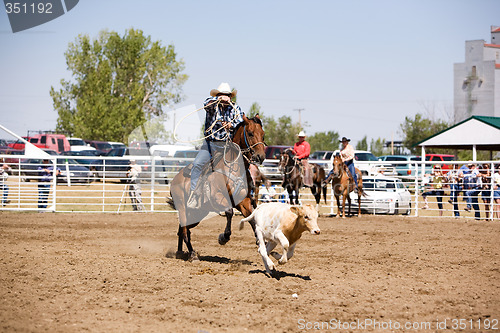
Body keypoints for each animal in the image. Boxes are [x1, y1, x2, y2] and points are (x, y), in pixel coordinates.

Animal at [169, 114, 266, 260]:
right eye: (250, 133)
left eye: (263, 134)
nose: (261, 157)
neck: (233, 167)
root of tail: (174, 179)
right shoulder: (217, 197)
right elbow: (229, 212)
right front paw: (223, 237)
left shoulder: (243, 201)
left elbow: (251, 216)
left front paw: (259, 240)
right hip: (182, 208)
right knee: (185, 231)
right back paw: (192, 254)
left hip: (197, 214)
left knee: (182, 229)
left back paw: (180, 252)